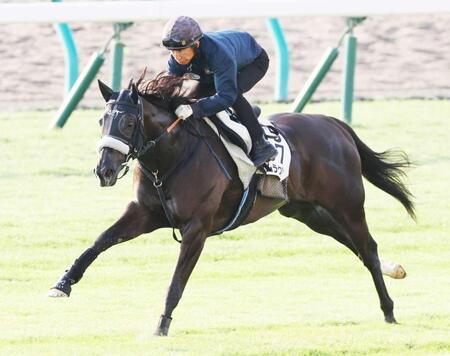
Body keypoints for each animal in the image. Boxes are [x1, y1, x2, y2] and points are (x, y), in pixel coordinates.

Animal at [48, 73, 414, 336]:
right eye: (101, 121)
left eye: (126, 123)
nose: (104, 171)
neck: (172, 155)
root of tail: (334, 124)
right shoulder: (145, 213)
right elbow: (99, 242)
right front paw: (62, 284)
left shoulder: (197, 227)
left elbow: (177, 280)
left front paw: (162, 325)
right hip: (308, 211)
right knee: (357, 247)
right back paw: (393, 270)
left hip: (346, 204)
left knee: (367, 246)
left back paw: (389, 309)